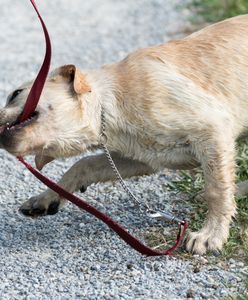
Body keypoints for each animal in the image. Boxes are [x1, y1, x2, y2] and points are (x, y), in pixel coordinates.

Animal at [0, 14, 248, 253]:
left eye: (15, 94)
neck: (109, 106)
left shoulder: (212, 130)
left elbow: (216, 190)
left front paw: (211, 235)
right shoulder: (144, 160)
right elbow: (83, 164)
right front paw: (44, 199)